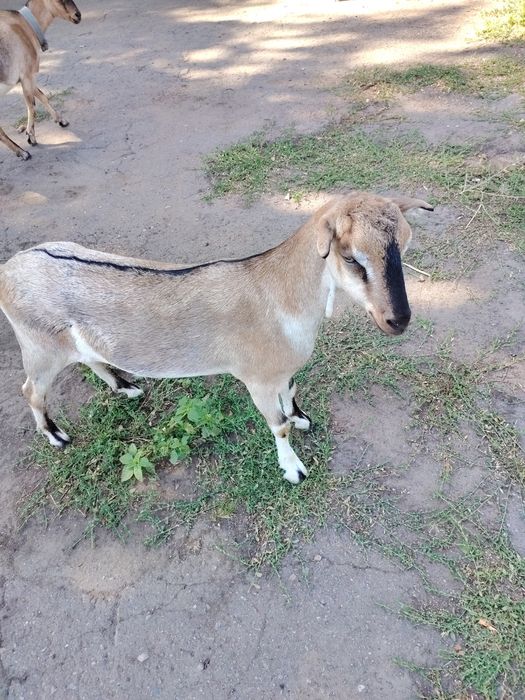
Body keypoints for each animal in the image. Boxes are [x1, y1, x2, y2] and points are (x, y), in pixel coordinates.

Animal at [0, 0, 81, 160]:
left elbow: (42, 96)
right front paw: (30, 137)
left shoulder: (25, 78)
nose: (78, 15)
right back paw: (23, 152)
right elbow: (32, 105)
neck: (25, 25)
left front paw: (61, 121)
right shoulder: (27, 75)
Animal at [0, 192, 433, 483]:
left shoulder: (280, 372)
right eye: (351, 258)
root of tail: (10, 268)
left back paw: (126, 387)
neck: (277, 293)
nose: (398, 320)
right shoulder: (256, 379)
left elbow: (291, 393)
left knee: (90, 357)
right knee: (31, 390)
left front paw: (302, 417)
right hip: (39, 347)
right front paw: (293, 469)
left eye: (405, 245)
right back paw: (57, 436)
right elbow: (278, 426)